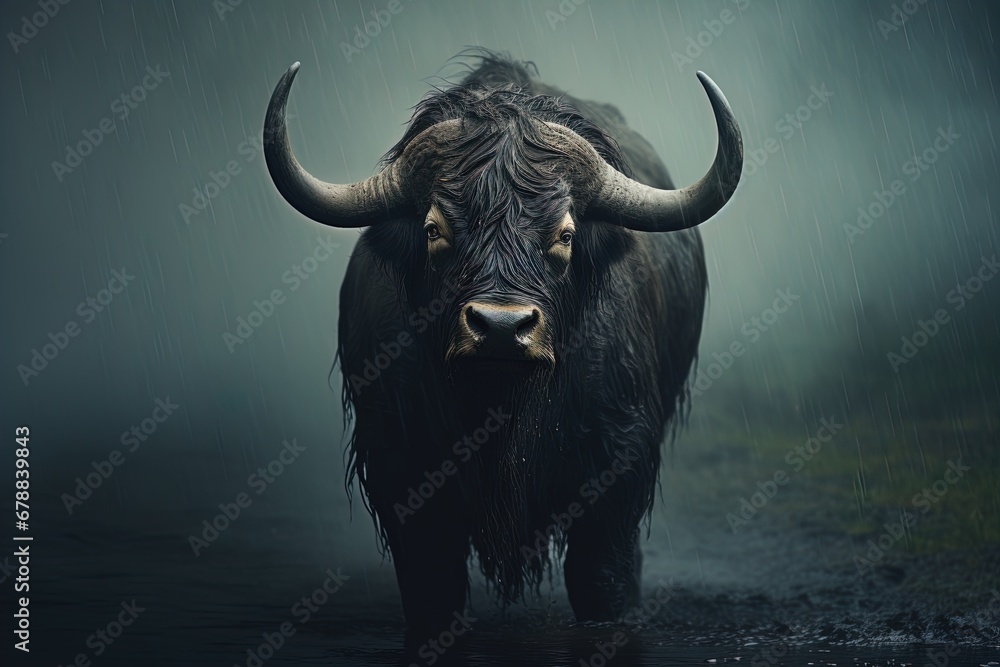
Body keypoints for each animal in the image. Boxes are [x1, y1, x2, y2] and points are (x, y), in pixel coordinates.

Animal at [263, 51, 743, 637]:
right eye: (434, 230)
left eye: (564, 234)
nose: (499, 327)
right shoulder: (399, 465)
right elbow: (432, 588)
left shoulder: (617, 463)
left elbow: (601, 579)